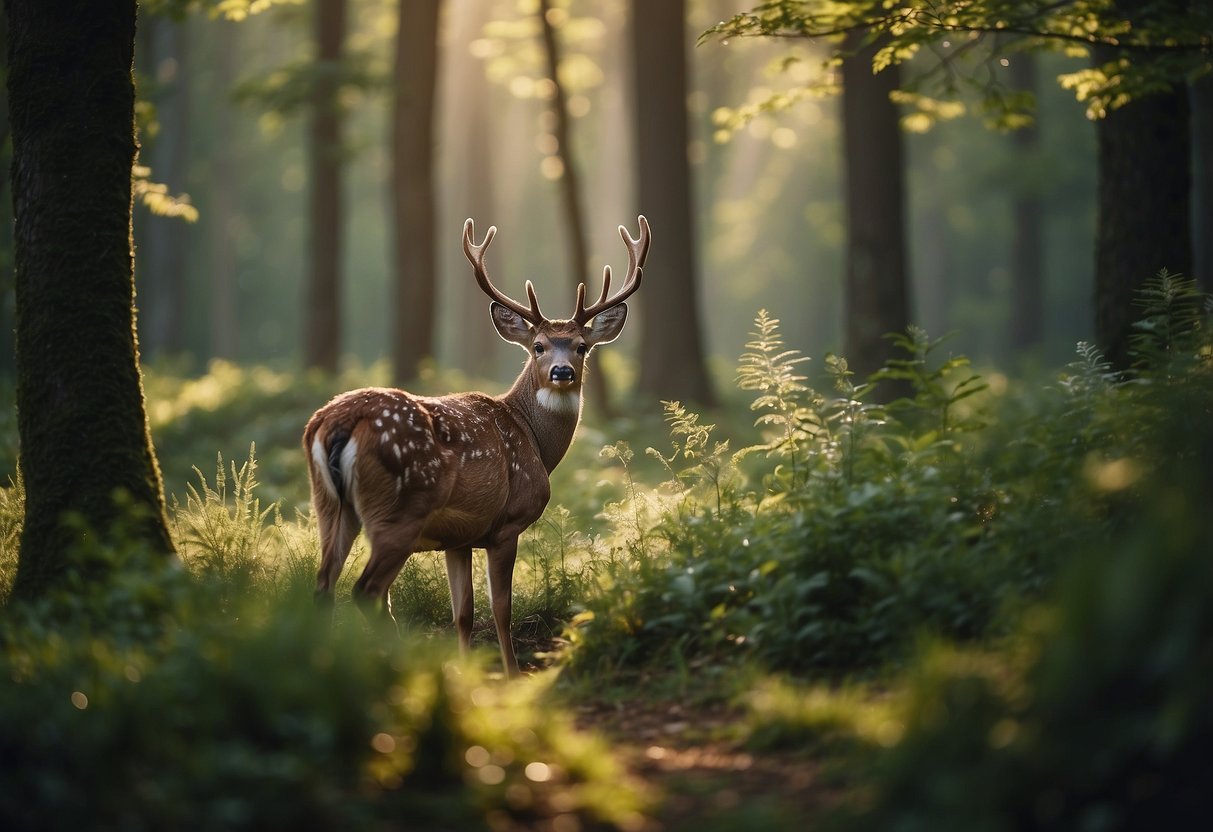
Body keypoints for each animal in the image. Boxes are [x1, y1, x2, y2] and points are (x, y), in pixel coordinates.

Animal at [303, 214, 650, 679]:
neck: (534, 441)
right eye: (538, 346)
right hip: (399, 510)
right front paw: (512, 673)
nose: (561, 371)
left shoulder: (459, 537)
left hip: (330, 505)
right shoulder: (507, 523)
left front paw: (467, 672)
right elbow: (501, 609)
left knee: (324, 585)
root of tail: (337, 422)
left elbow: (463, 614)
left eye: (581, 346)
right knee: (366, 591)